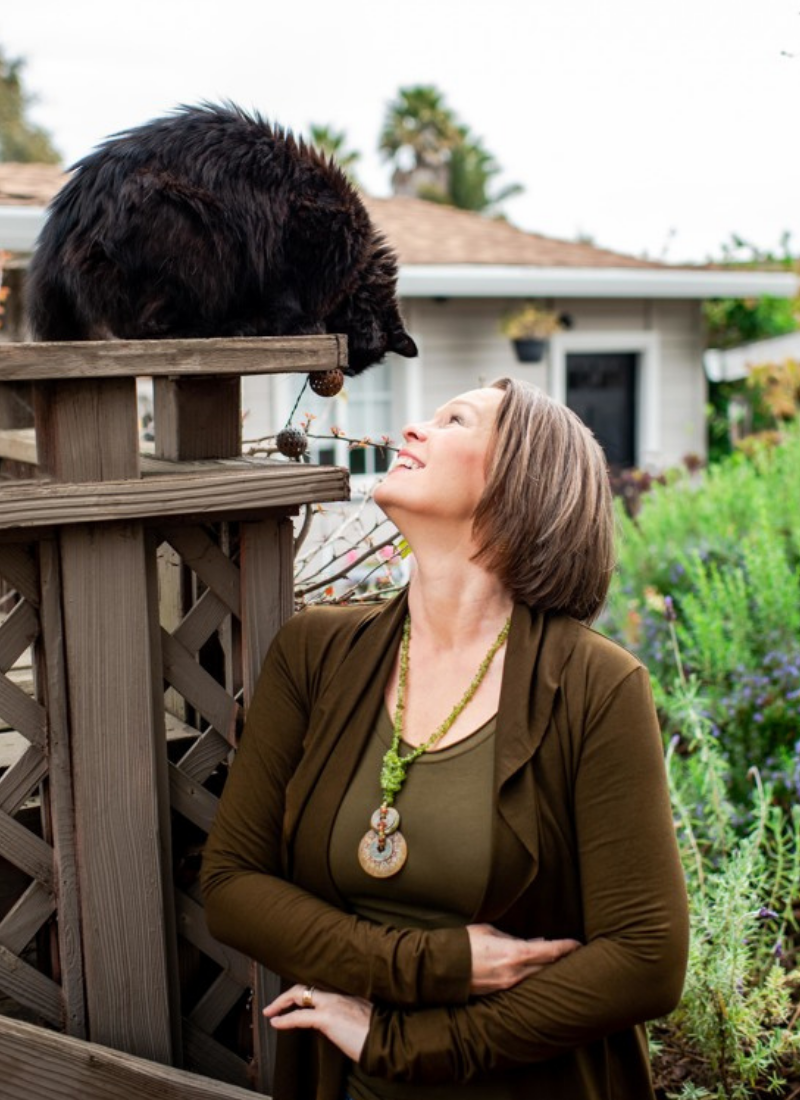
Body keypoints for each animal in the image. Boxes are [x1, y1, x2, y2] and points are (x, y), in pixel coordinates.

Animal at [25, 101, 420, 374]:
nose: (344, 370)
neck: (357, 269)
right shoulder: (299, 238)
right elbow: (287, 296)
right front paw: (299, 323)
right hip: (195, 229)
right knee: (141, 329)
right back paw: (231, 327)